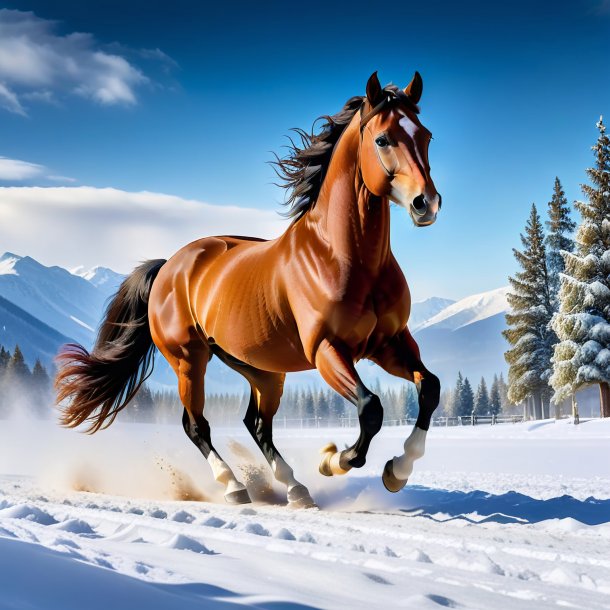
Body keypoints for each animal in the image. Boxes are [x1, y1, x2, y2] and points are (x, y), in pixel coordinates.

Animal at [54, 71, 440, 506]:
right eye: (383, 139)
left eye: (425, 135)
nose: (426, 203)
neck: (344, 258)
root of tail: (170, 265)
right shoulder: (327, 349)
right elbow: (370, 408)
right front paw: (334, 460)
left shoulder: (389, 342)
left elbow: (430, 389)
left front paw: (397, 471)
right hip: (189, 360)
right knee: (196, 424)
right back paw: (235, 487)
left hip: (261, 368)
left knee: (256, 423)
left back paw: (296, 489)